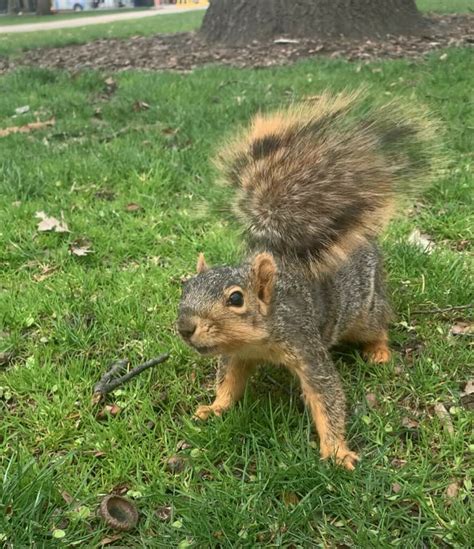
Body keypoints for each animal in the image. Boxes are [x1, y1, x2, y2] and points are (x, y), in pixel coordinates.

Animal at [177, 91, 440, 470]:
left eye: (236, 299)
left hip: (366, 310)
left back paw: (378, 351)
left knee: (379, 324)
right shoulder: (238, 355)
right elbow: (229, 382)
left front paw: (337, 451)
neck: (260, 337)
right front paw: (214, 409)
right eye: (184, 287)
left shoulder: (305, 343)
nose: (185, 328)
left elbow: (326, 395)